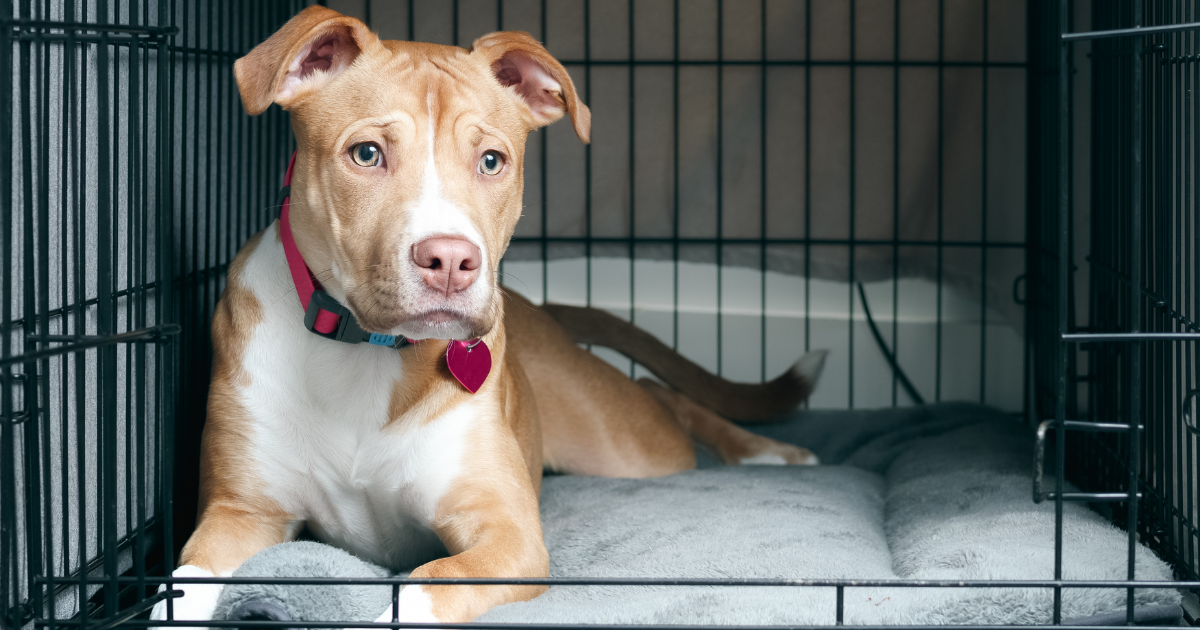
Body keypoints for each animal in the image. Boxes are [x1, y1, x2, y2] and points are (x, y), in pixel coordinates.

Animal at [150, 6, 825, 624]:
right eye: (366, 154)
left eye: (492, 161)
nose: (450, 261)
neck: (367, 353)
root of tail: (542, 310)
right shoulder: (238, 514)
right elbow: (179, 588)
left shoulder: (507, 535)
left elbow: (423, 585)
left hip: (625, 444)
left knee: (665, 398)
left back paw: (770, 454)